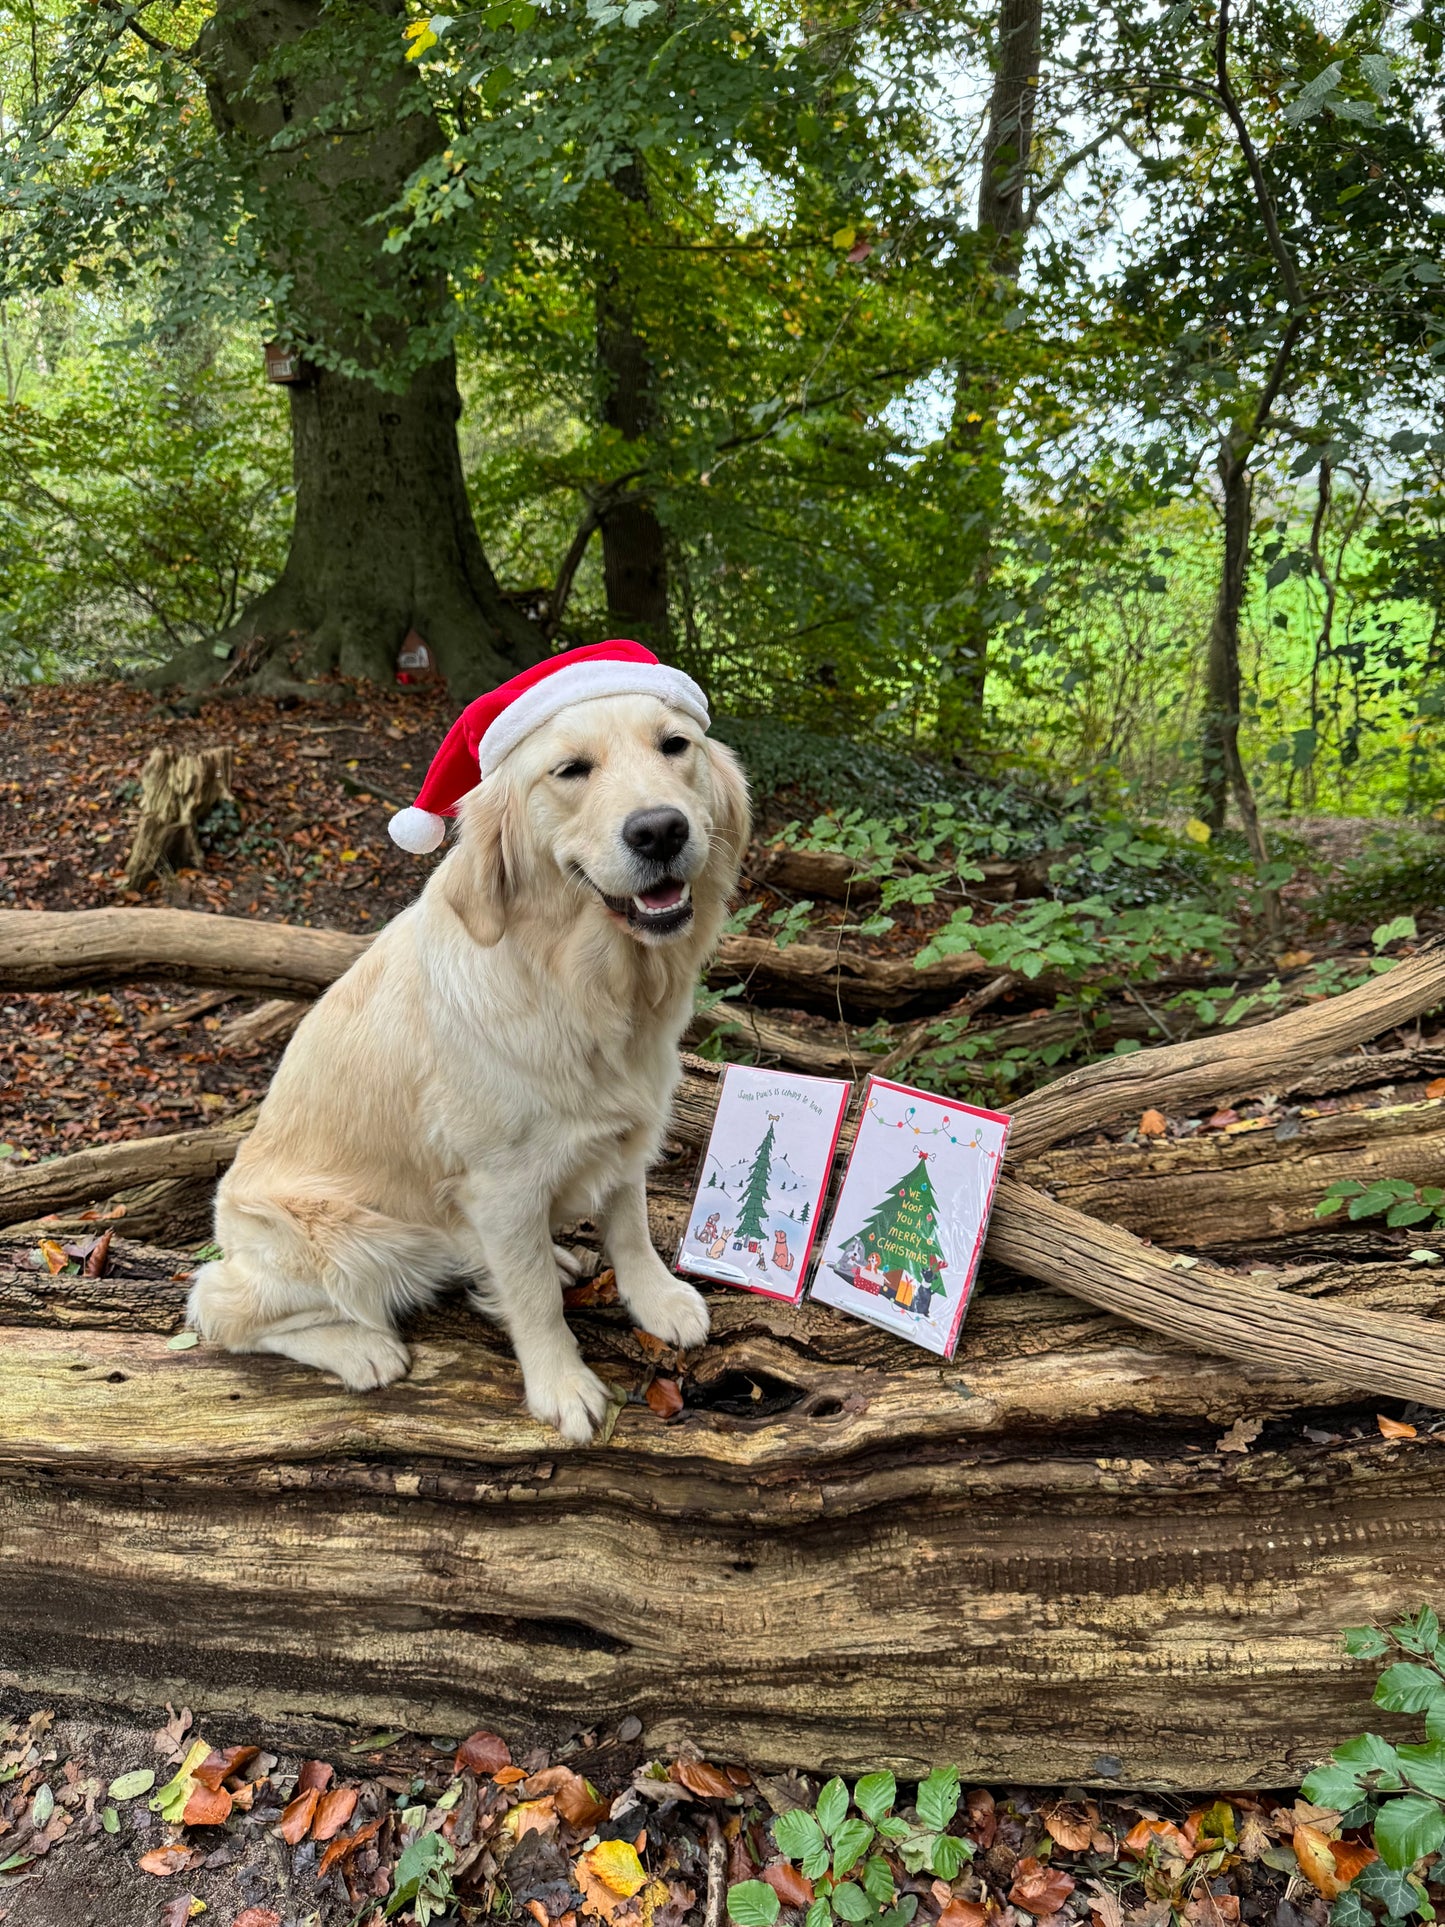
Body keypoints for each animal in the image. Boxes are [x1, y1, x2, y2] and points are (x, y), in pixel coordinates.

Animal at [187, 647, 751, 1449]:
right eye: (570, 769)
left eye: (676, 745)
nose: (659, 831)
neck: (584, 984)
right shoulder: (501, 1181)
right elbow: (534, 1299)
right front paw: (562, 1384)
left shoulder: (624, 1132)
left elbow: (630, 1223)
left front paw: (657, 1298)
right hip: (349, 1239)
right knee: (218, 1307)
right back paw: (360, 1348)